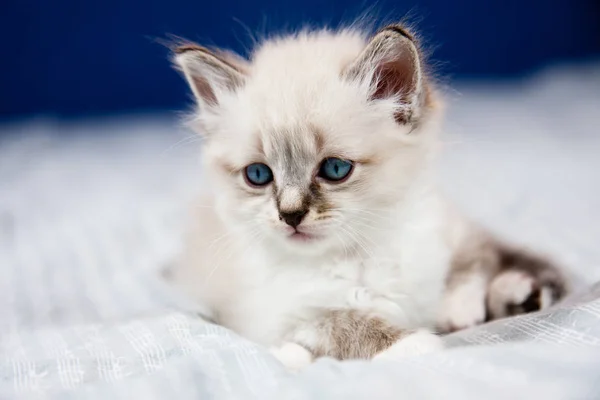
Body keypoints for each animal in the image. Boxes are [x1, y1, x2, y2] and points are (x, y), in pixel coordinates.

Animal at [166, 24, 568, 368]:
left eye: (335, 169)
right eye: (258, 175)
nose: (290, 215)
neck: (361, 254)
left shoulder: (448, 230)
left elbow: (473, 261)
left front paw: (457, 305)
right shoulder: (280, 317)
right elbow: (343, 322)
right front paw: (416, 343)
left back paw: (521, 293)